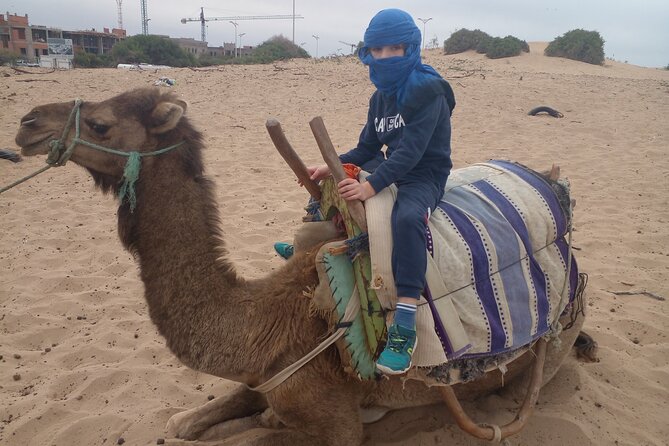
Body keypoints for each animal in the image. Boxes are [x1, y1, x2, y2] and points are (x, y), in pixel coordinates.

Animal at [15, 89, 588, 444]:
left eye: (101, 123)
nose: (26, 123)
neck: (259, 322)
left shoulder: (334, 423)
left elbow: (258, 433)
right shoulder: (262, 377)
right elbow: (185, 422)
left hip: (547, 353)